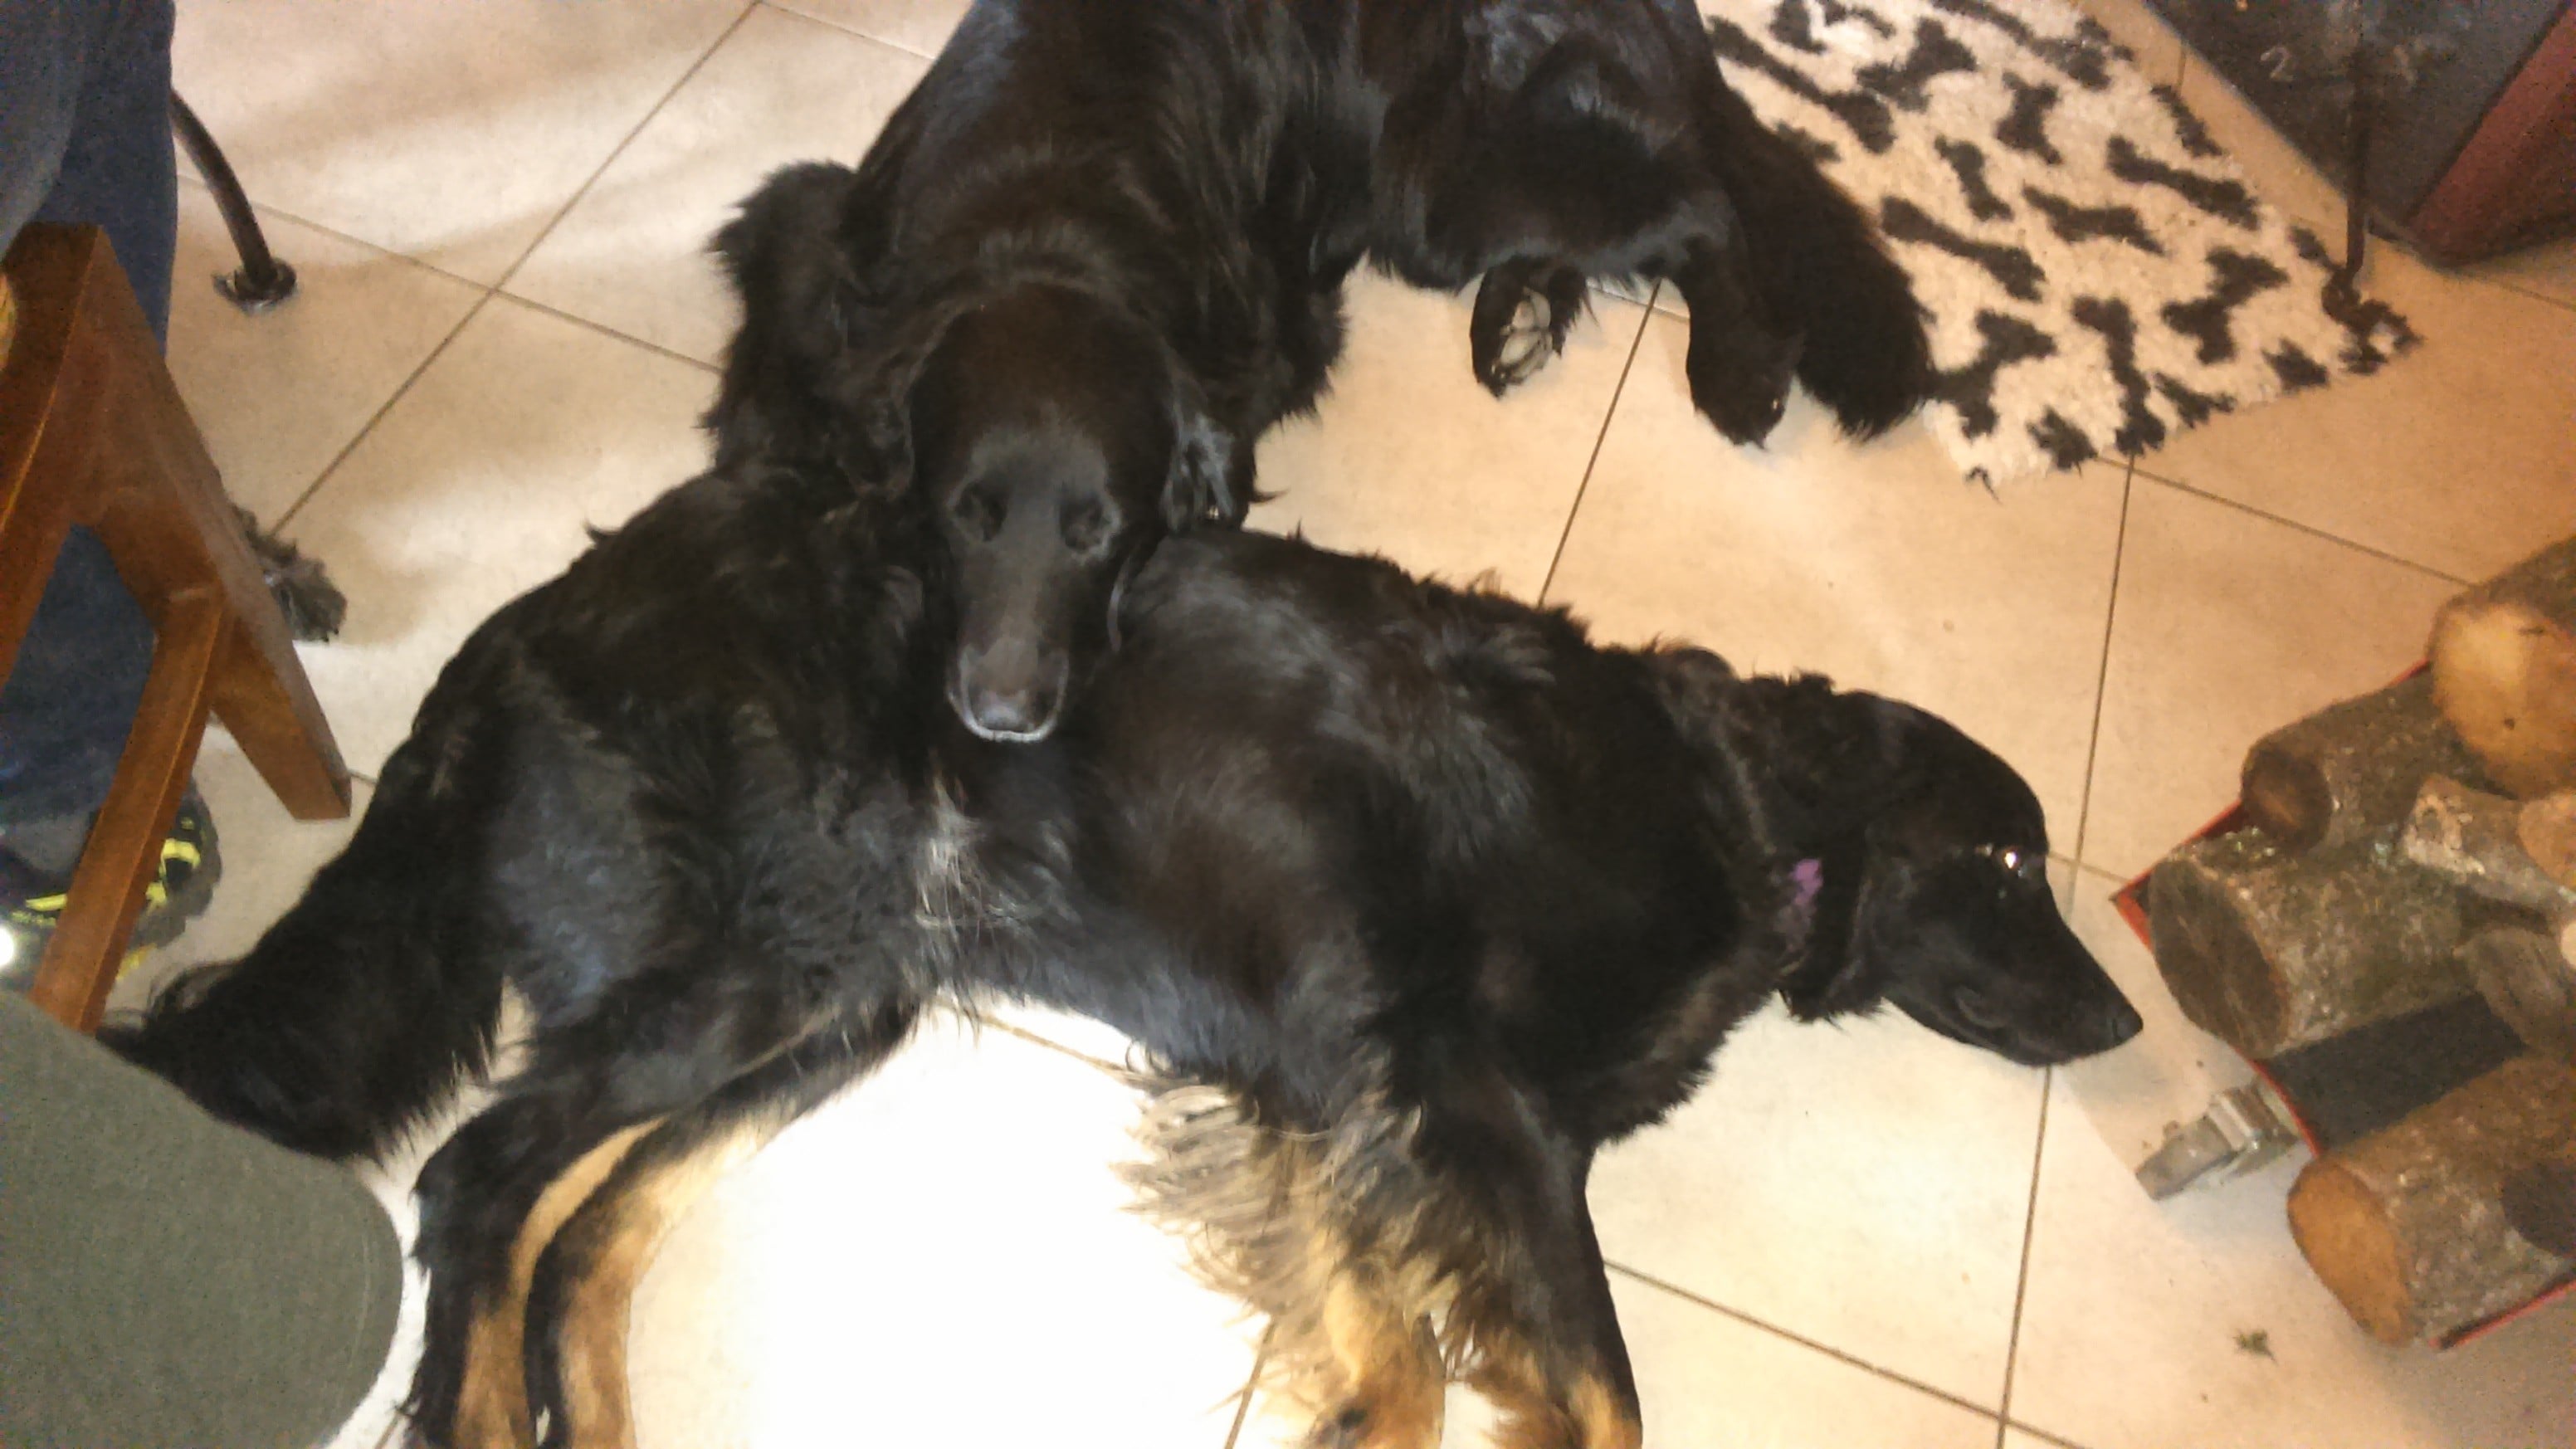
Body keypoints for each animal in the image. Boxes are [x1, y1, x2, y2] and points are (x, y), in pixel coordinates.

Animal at [108, 461, 2136, 1449]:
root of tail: (522, 628)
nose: (2126, 1015)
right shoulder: (1467, 1094)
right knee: (476, 1185)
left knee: (584, 1239)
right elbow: (1602, 1393)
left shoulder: (1326, 1087)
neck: (1726, 805)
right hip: (758, 975)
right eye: (2006, 858)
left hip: (837, 992)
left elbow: (1398, 1372)